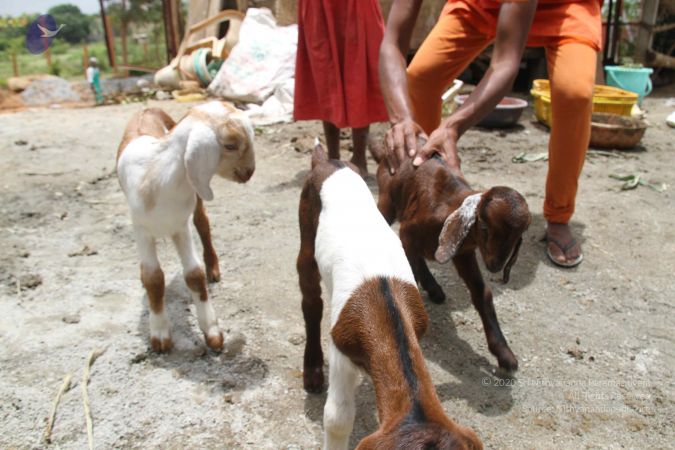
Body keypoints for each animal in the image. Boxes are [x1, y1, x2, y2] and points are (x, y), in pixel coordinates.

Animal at [117, 102, 255, 352]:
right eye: (230, 145)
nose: (249, 172)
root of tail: (148, 108)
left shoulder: (180, 226)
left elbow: (194, 274)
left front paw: (212, 332)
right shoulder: (141, 229)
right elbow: (153, 277)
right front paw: (160, 335)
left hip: (197, 195)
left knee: (203, 222)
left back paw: (213, 268)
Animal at [298, 143, 484, 450]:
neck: (386, 302)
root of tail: (328, 162)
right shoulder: (340, 349)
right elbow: (337, 417)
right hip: (306, 225)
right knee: (310, 296)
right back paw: (312, 370)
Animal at [378, 151, 532, 372]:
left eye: (518, 237)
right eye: (484, 227)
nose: (495, 265)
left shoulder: (463, 253)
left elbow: (482, 293)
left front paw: (504, 354)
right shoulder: (408, 232)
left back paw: (434, 289)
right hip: (387, 197)